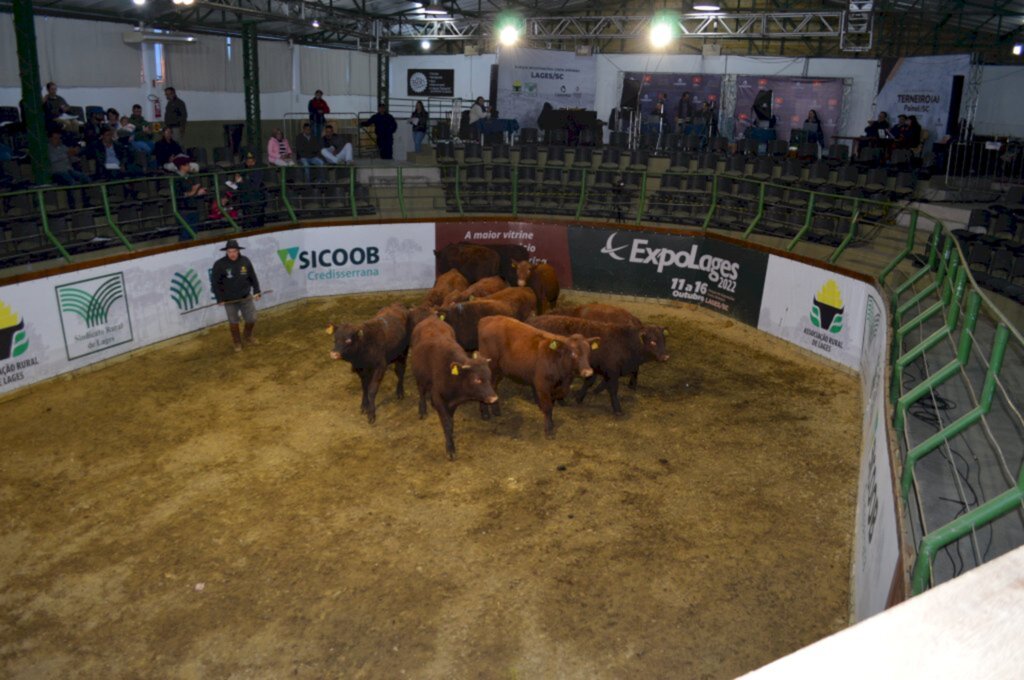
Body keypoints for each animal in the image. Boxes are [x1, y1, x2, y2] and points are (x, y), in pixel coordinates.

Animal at [411, 315, 499, 458]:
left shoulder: (452, 403)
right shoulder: (440, 398)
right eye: (477, 379)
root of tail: (431, 317)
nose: (493, 398)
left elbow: (450, 422)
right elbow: (446, 423)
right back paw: (422, 409)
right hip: (419, 376)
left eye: (489, 376)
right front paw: (450, 448)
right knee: (421, 391)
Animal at [532, 315, 667, 413]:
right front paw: (617, 409)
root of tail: (534, 320)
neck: (626, 343)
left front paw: (581, 396)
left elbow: (593, 383)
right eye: (653, 341)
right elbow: (612, 389)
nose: (666, 356)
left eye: (664, 340)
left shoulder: (600, 369)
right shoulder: (612, 371)